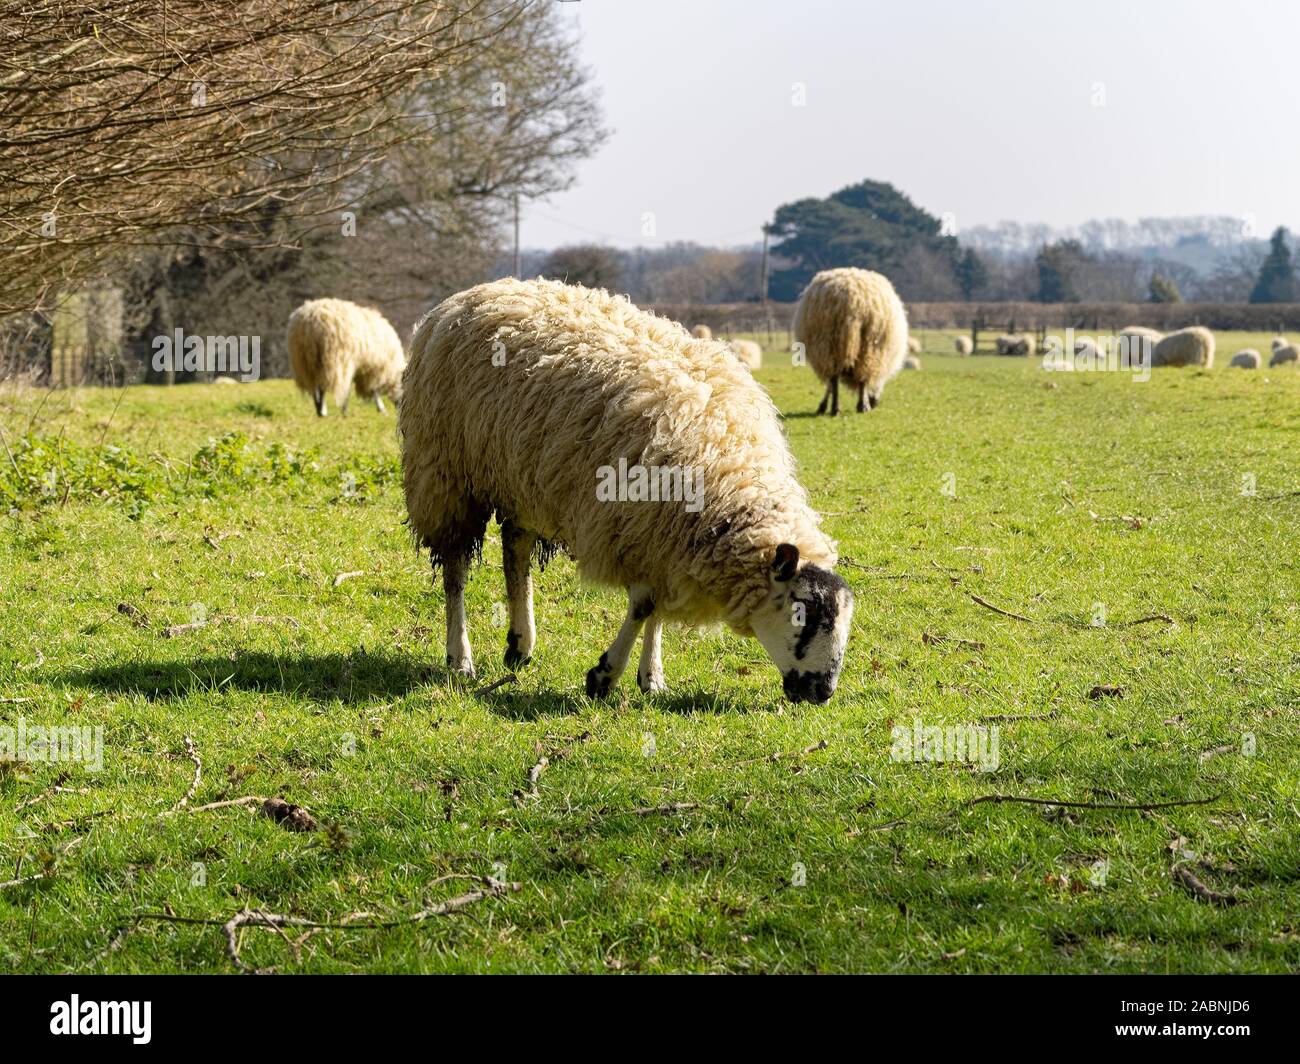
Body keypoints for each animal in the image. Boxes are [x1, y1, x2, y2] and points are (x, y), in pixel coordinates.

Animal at [399, 278, 854, 704]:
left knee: (516, 550)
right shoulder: (641, 525)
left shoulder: (661, 537)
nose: (823, 691)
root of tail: (475, 292)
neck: (730, 471)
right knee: (455, 569)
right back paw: (460, 658)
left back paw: (520, 643)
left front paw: (651, 677)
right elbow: (643, 605)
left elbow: (654, 608)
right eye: (801, 615)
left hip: (522, 478)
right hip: (445, 474)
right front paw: (604, 675)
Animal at [792, 267, 908, 415]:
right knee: (860, 377)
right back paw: (860, 406)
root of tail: (854, 300)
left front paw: (823, 406)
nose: (875, 402)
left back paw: (836, 408)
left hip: (831, 343)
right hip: (869, 345)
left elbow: (830, 383)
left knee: (835, 377)